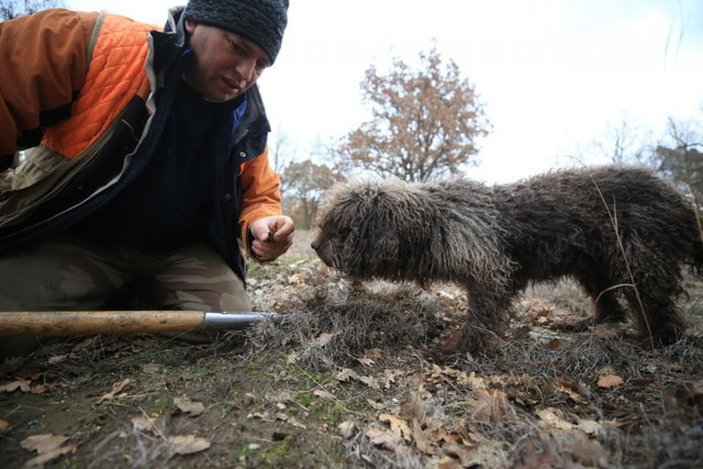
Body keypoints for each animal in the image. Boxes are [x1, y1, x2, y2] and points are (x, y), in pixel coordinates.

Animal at [314, 166, 703, 352]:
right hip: (592, 265)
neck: (436, 221)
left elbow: (480, 317)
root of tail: (681, 199)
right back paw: (590, 325)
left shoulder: (489, 273)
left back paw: (657, 341)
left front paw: (461, 348)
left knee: (655, 305)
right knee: (610, 305)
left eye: (341, 229)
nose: (316, 246)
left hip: (639, 257)